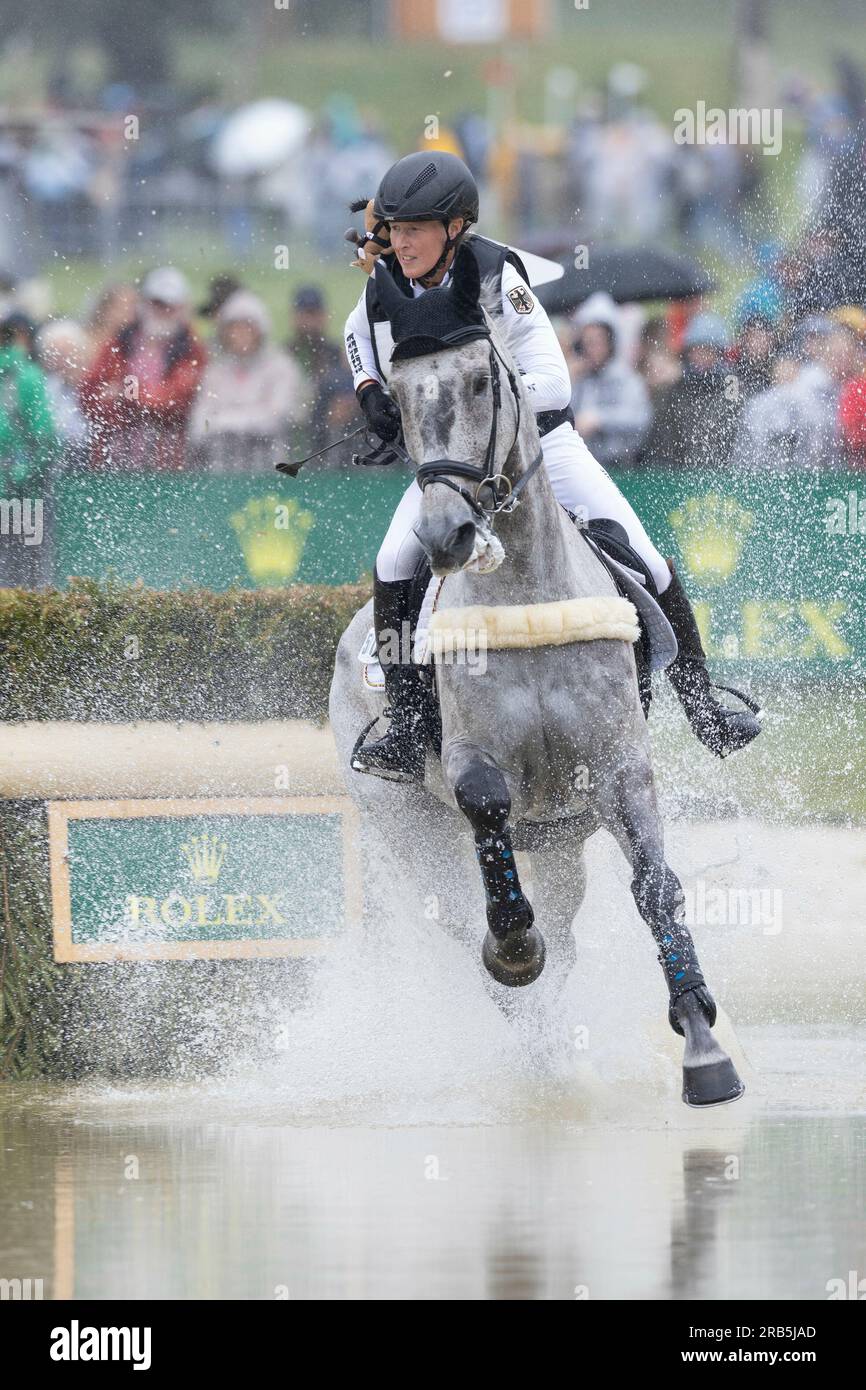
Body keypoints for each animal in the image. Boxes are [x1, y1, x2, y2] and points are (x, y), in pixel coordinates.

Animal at [332, 250, 745, 1106]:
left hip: (559, 841)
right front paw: (516, 951)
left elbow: (656, 886)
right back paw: (536, 1035)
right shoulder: (475, 764)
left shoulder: (619, 767)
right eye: (399, 393)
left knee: (565, 929)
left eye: (483, 381)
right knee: (475, 929)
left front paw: (702, 1046)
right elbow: (487, 807)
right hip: (413, 832)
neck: (523, 588)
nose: (445, 535)